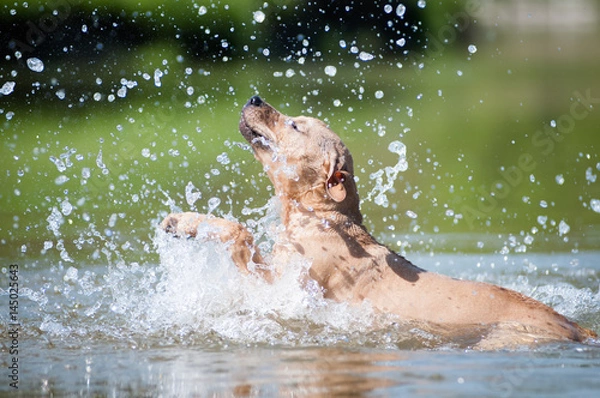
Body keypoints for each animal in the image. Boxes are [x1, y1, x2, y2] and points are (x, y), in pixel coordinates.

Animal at [162, 96, 596, 348]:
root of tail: (576, 326)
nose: (255, 97)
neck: (322, 218)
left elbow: (240, 232)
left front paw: (185, 222)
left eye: (295, 125)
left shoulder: (279, 286)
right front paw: (182, 221)